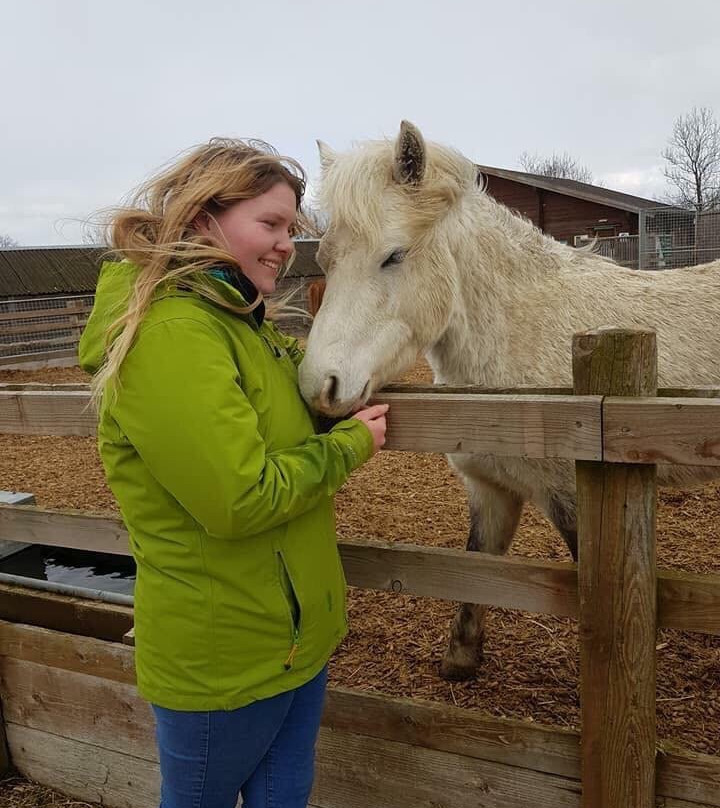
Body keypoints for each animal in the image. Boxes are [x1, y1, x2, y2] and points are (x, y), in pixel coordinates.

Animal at [298, 123, 720, 680]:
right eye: (324, 261)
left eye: (393, 255)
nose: (318, 386)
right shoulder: (490, 489)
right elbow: (476, 565)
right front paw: (461, 659)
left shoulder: (576, 498)